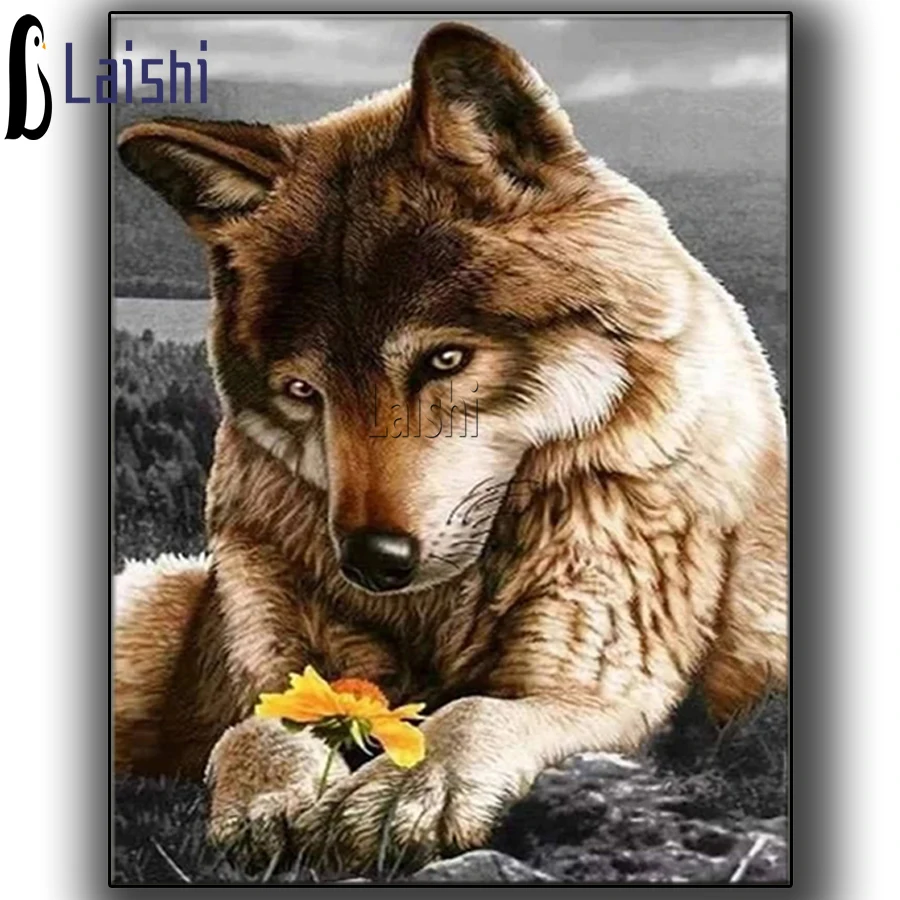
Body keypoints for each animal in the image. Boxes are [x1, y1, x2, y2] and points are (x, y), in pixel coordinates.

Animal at [115, 22, 787, 873]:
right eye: (303, 391)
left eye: (445, 360)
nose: (371, 561)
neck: (440, 608)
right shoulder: (275, 659)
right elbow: (258, 725)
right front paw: (272, 799)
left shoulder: (595, 685)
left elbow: (470, 712)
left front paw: (408, 789)